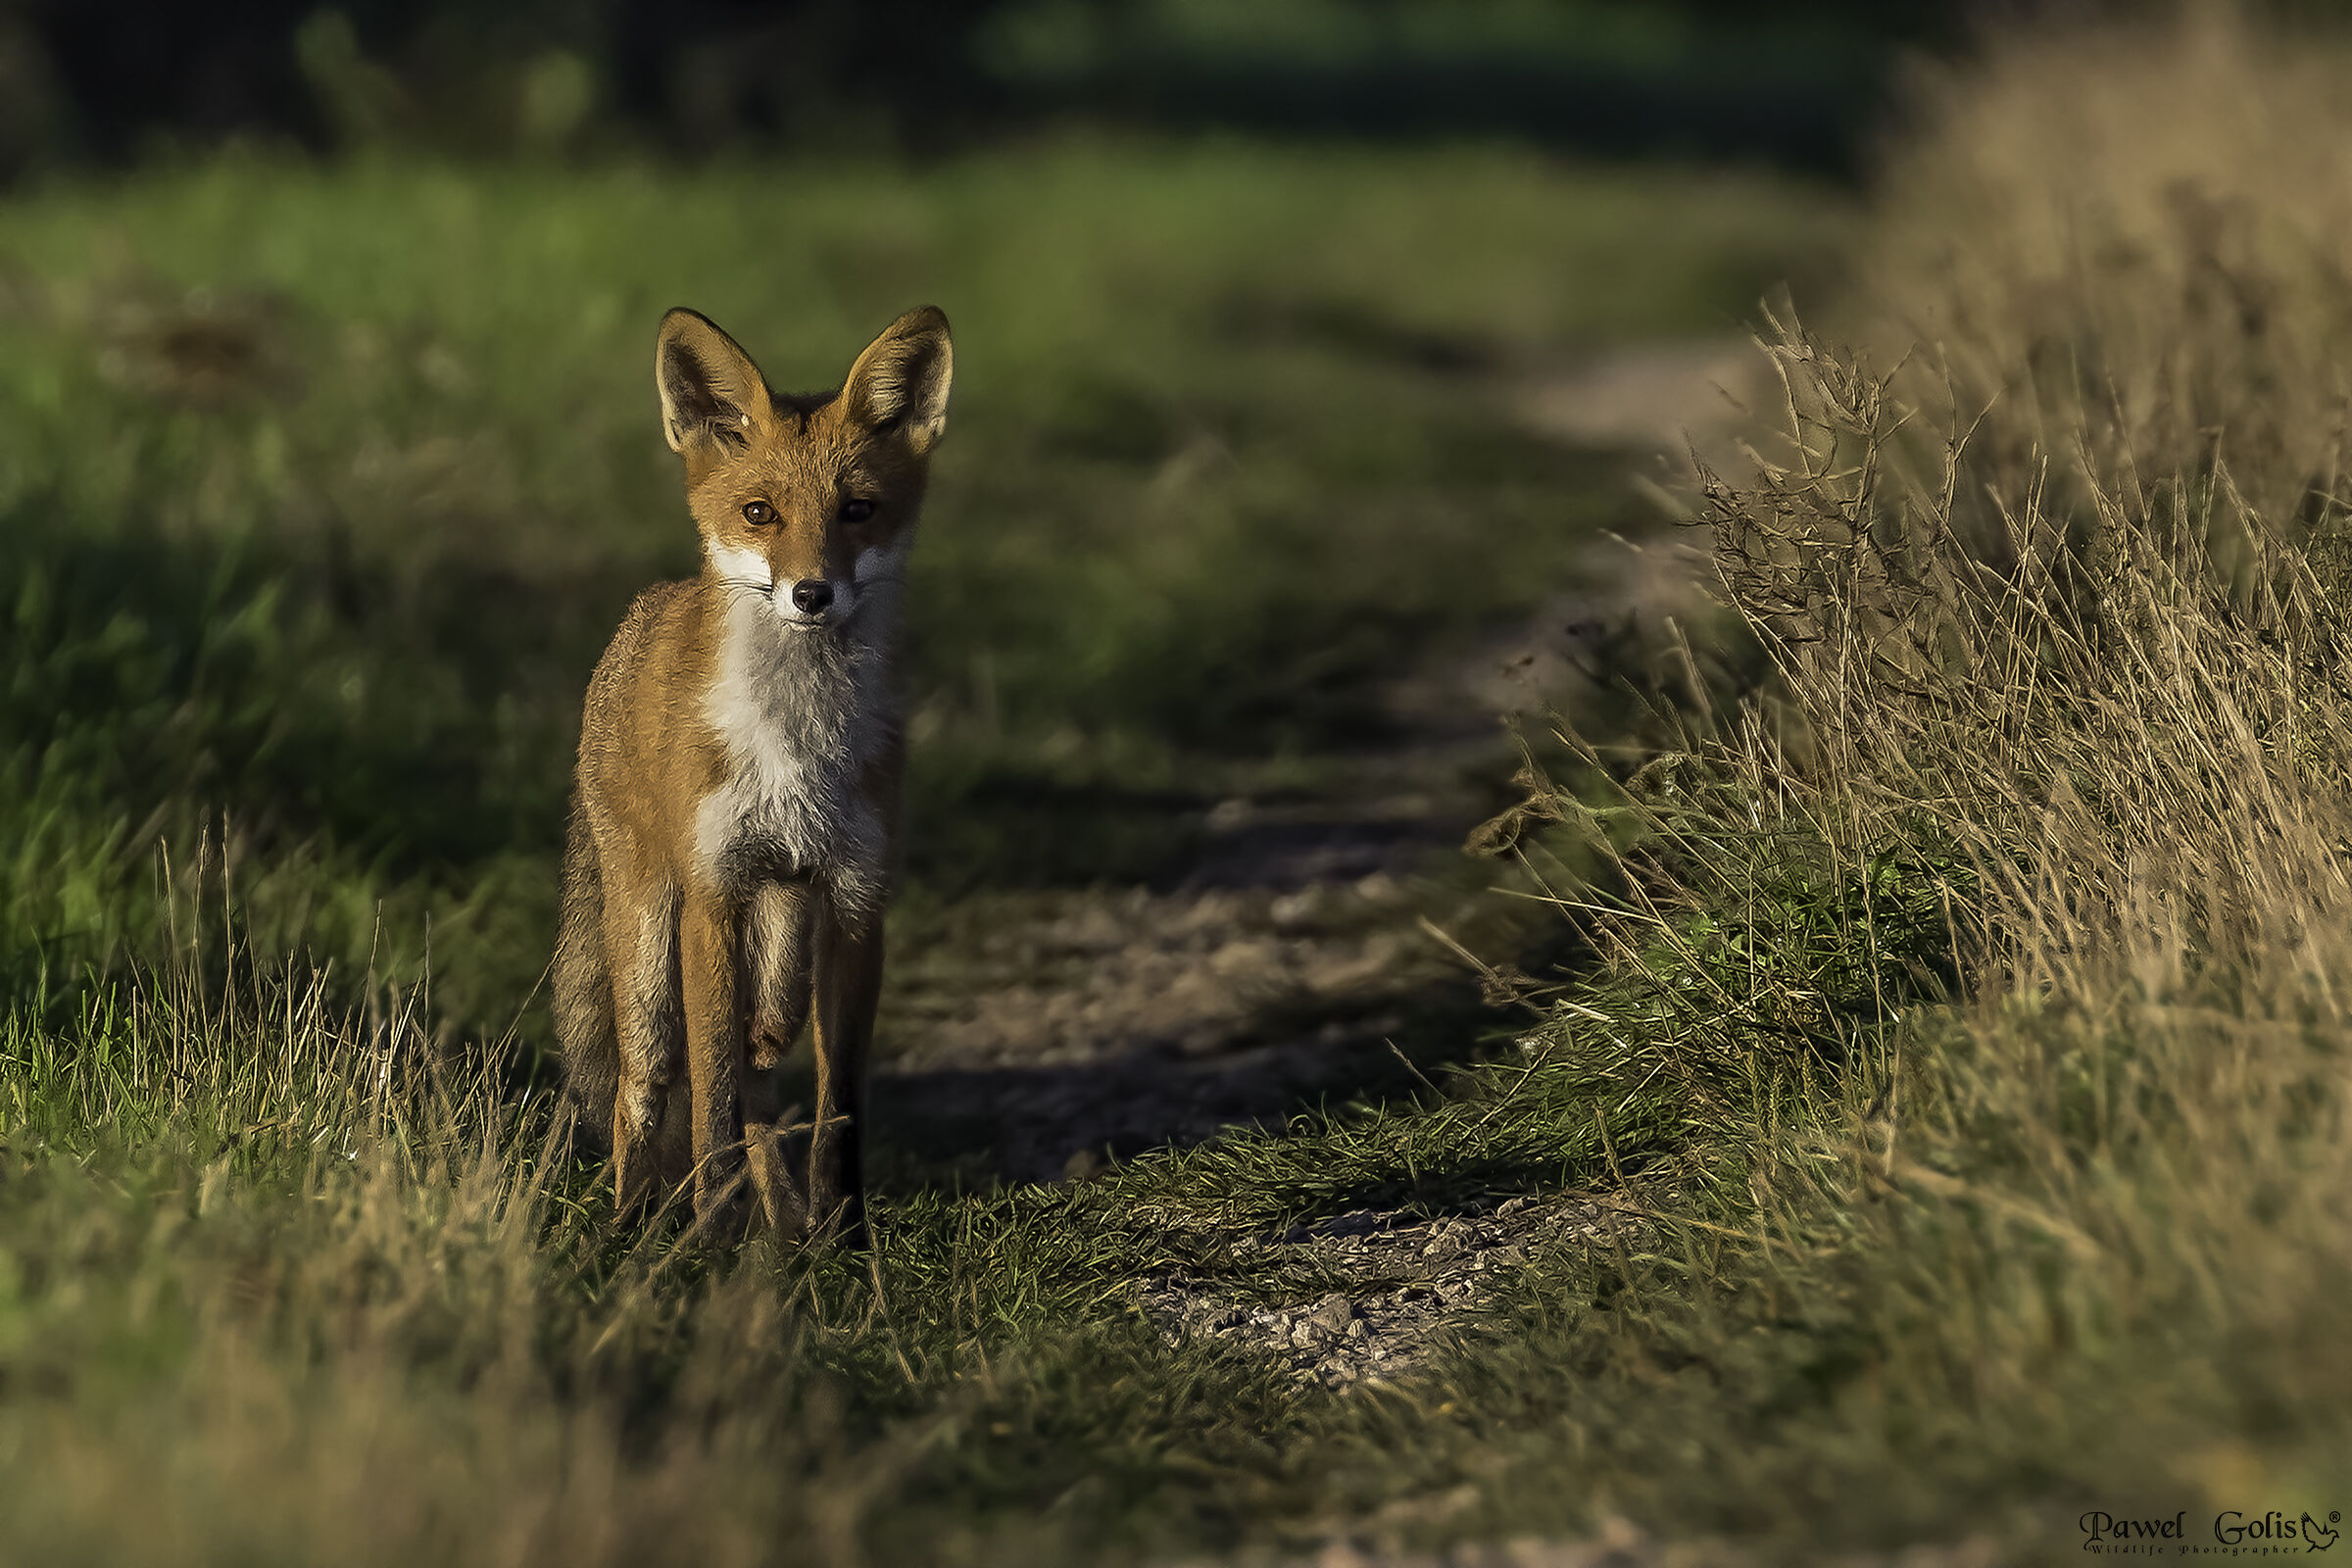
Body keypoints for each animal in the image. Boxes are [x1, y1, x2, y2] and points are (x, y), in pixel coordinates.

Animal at [552, 304, 952, 1242]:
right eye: (759, 512)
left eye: (858, 511)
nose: (811, 594)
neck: (797, 750)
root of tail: (640, 615)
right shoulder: (714, 896)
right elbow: (712, 1103)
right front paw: (709, 1236)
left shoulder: (856, 904)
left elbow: (838, 1105)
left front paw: (846, 1236)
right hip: (650, 945)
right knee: (647, 1087)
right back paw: (635, 1229)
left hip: (779, 965)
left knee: (763, 1072)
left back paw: (785, 1225)